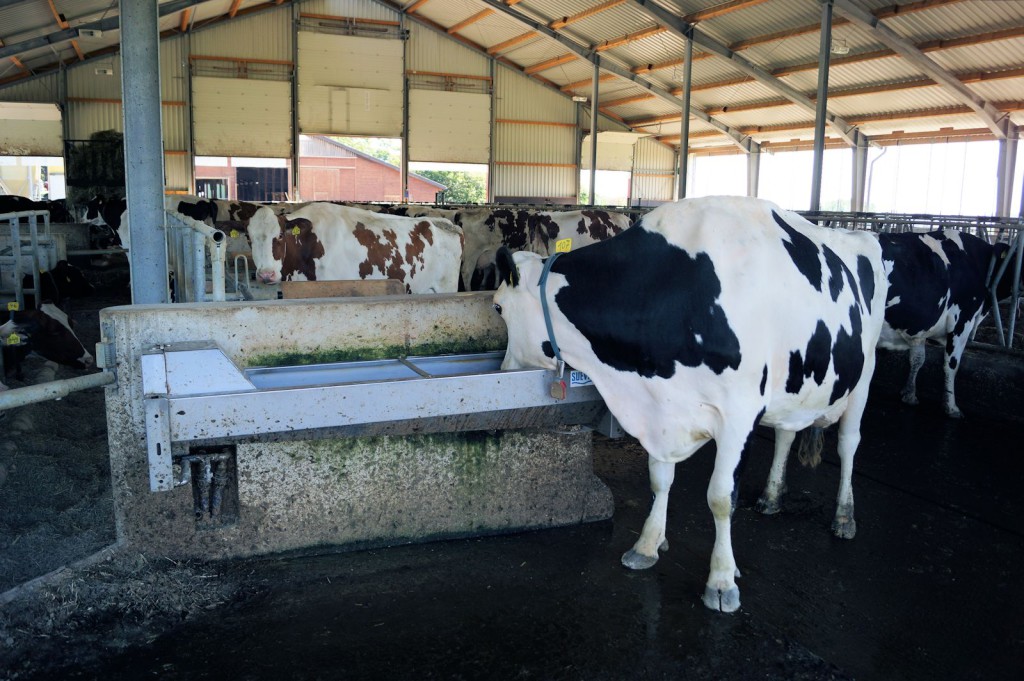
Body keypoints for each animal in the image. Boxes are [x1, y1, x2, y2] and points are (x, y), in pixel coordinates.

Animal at [489, 195, 888, 610]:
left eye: (497, 307)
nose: (503, 369)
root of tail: (862, 236)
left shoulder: (739, 414)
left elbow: (720, 496)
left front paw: (722, 580)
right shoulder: (662, 409)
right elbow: (659, 479)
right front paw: (647, 545)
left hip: (864, 374)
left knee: (848, 445)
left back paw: (844, 516)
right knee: (785, 435)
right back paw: (772, 496)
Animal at [876, 228, 1019, 417]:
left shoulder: (920, 328)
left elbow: (918, 358)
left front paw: (909, 394)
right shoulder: (962, 321)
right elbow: (951, 364)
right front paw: (951, 407)